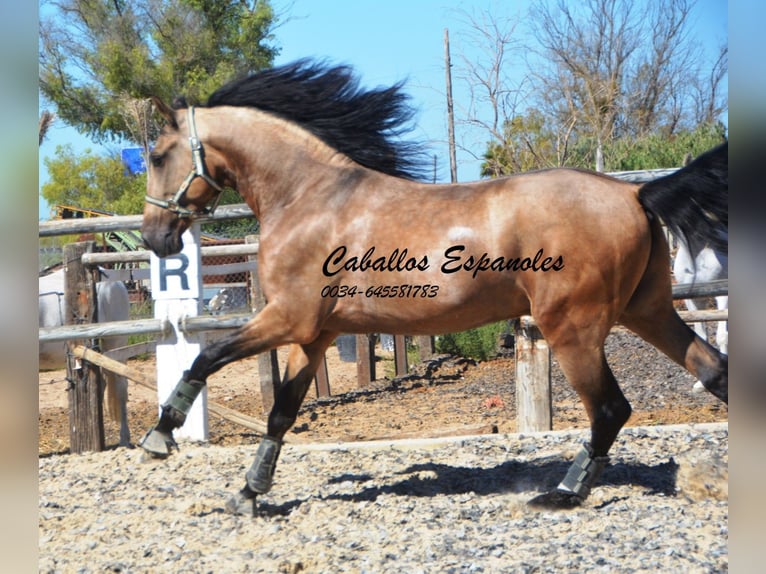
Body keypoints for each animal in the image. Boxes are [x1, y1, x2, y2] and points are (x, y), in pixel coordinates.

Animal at [138, 60, 732, 516]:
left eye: (157, 155)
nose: (156, 239)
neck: (310, 197)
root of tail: (636, 194)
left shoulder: (287, 317)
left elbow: (207, 356)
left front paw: (160, 437)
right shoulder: (315, 333)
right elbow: (282, 411)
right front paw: (248, 494)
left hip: (574, 329)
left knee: (610, 408)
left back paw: (563, 493)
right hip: (647, 310)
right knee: (714, 372)